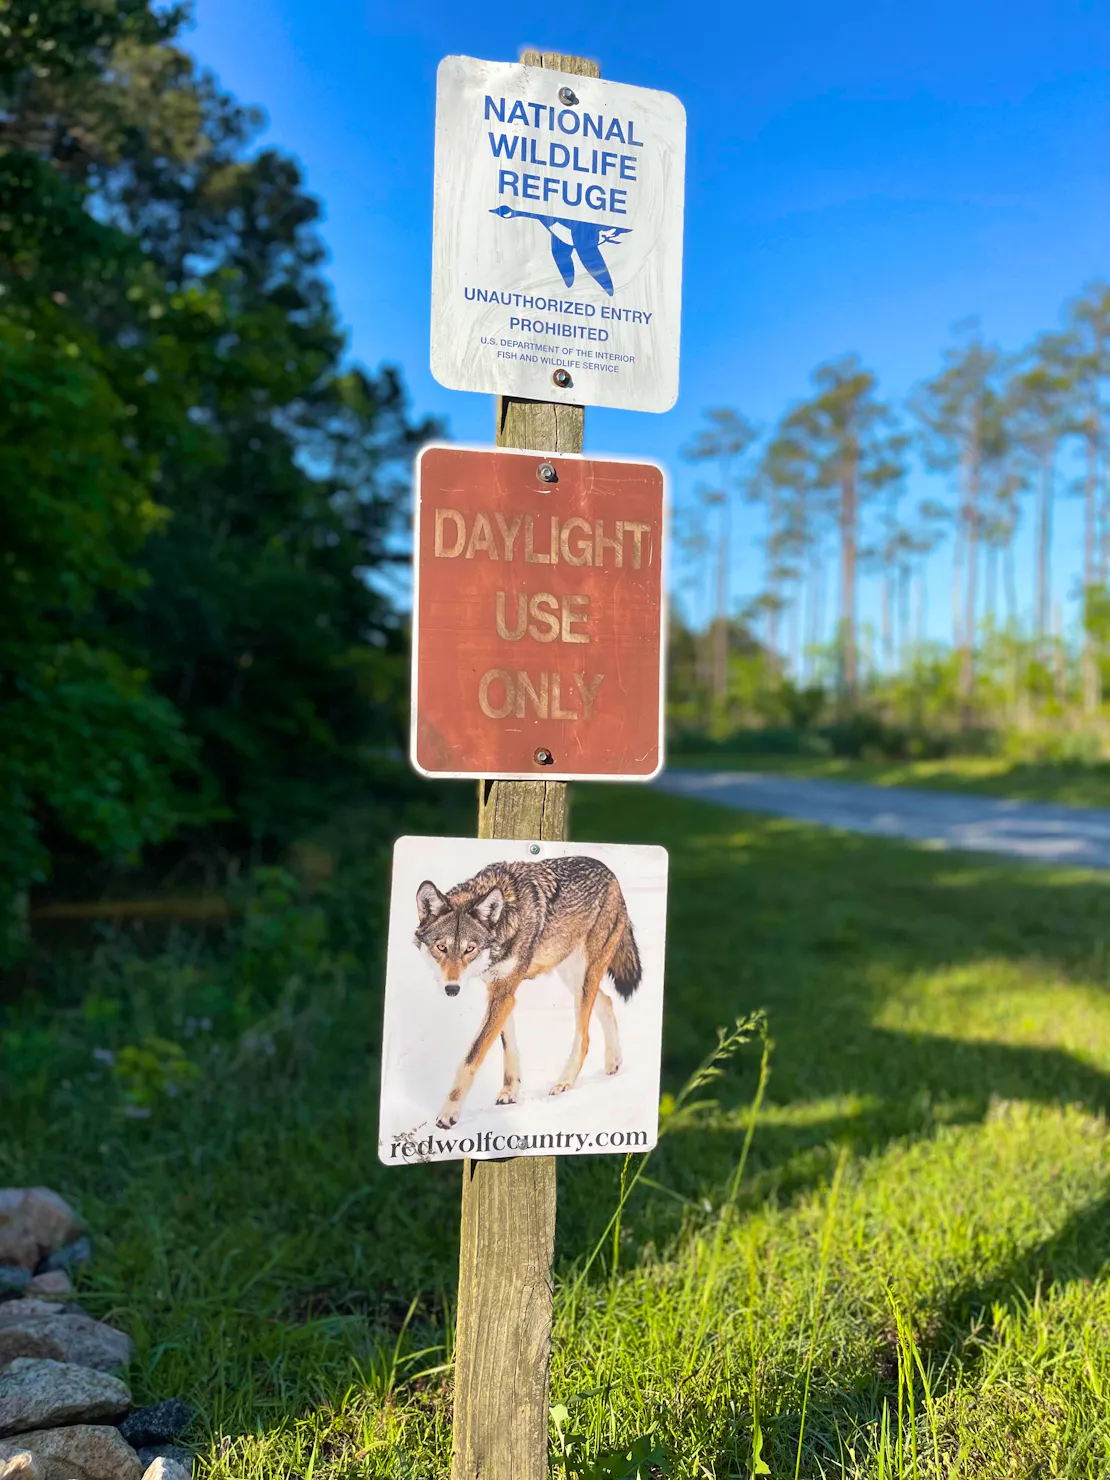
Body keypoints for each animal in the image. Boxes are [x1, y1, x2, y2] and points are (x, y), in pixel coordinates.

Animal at [413, 855, 642, 1129]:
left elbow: (471, 1059)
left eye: (469, 949)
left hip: (585, 978)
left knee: (584, 1037)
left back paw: (564, 1083)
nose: (452, 988)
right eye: (442, 948)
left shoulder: (504, 993)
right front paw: (510, 1092)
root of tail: (610, 873)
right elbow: (509, 1048)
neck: (505, 918)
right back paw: (613, 1062)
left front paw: (449, 1113)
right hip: (574, 978)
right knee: (607, 1002)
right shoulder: (501, 992)